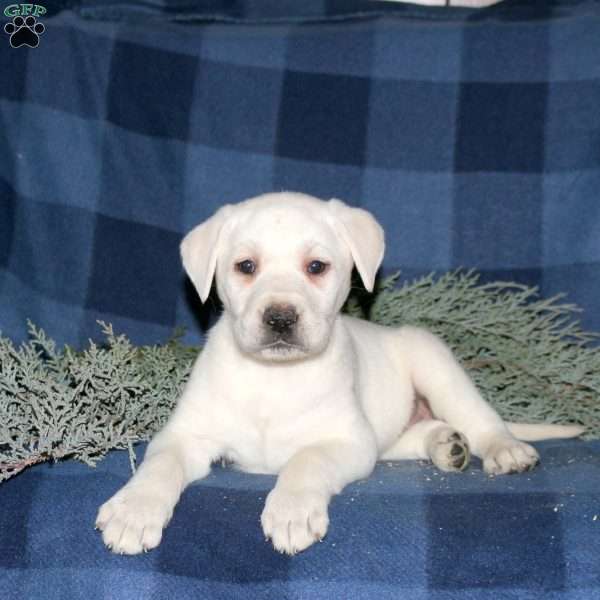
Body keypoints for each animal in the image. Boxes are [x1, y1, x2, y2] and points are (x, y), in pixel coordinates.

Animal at [96, 191, 584, 552]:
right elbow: (160, 466)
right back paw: (446, 445)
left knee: (480, 418)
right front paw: (133, 510)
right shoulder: (184, 436)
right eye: (245, 267)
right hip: (386, 437)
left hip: (436, 366)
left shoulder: (345, 441)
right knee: (416, 436)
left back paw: (503, 448)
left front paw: (291, 510)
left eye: (316, 267)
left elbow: (305, 460)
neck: (274, 377)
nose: (279, 317)